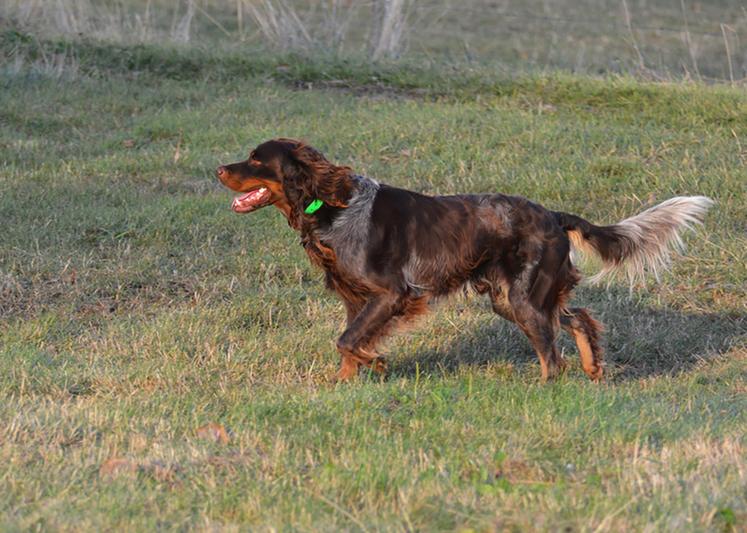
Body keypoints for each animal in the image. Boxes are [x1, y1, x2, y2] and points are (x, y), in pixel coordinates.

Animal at [216, 136, 712, 378]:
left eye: (256, 160)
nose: (219, 169)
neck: (331, 205)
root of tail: (552, 215)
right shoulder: (356, 298)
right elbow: (349, 343)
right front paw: (345, 382)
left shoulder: (391, 293)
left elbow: (348, 341)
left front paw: (377, 364)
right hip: (516, 297)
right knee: (577, 319)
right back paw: (593, 368)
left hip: (523, 297)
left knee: (552, 355)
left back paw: (546, 386)